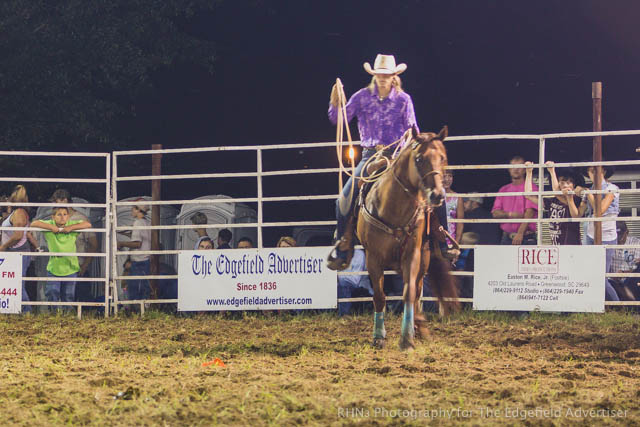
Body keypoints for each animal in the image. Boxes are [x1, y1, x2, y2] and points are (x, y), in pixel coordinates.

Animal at [356, 127, 460, 352]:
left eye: (443, 158)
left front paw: (407, 339)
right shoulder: (373, 258)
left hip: (424, 258)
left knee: (417, 290)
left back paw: (418, 327)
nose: (437, 195)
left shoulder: (412, 254)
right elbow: (379, 296)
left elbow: (409, 292)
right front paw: (378, 336)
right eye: (419, 159)